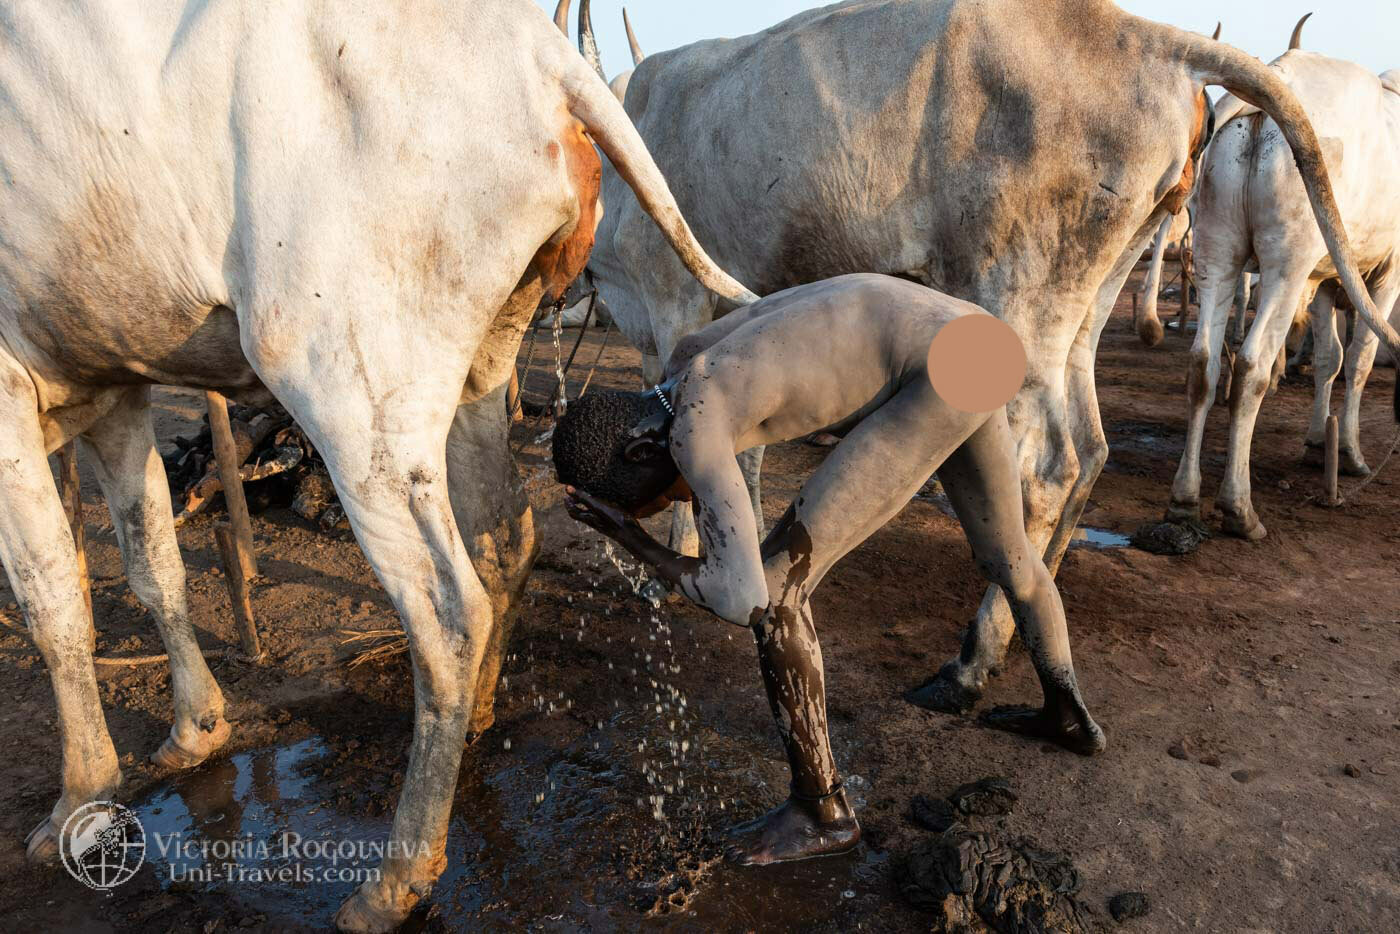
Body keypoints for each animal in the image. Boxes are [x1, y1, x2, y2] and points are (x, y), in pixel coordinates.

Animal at [0, 3, 756, 929]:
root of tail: (546, 57)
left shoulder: (8, 386)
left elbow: (53, 602)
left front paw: (79, 798)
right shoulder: (115, 387)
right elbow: (152, 568)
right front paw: (193, 730)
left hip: (348, 382)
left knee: (447, 610)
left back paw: (397, 878)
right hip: (483, 358)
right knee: (508, 536)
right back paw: (476, 721)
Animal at [1164, 42, 1400, 540]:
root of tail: (1271, 86)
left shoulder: (1326, 279)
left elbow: (1329, 356)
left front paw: (1317, 442)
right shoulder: (1388, 272)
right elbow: (1360, 358)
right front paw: (1350, 453)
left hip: (1218, 247)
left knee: (1203, 364)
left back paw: (1184, 499)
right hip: (1286, 264)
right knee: (1251, 364)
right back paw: (1239, 507)